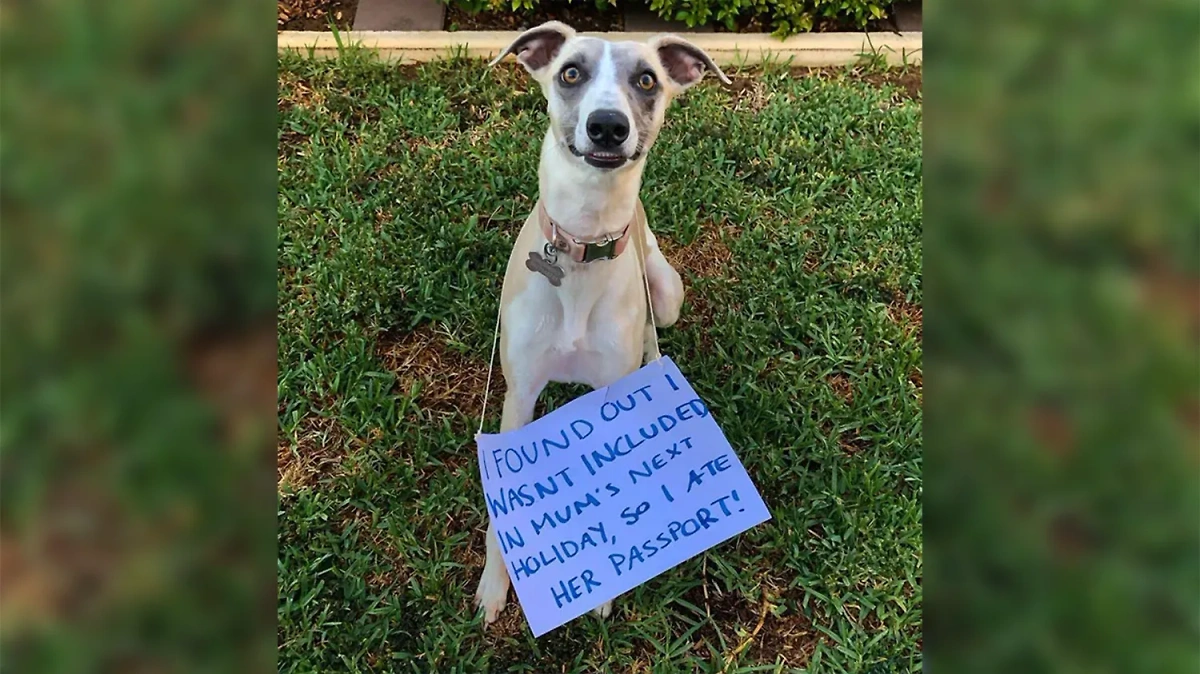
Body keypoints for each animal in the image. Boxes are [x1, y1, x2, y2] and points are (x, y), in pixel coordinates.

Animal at [472, 20, 724, 623]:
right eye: (570, 72)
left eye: (647, 79)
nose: (608, 126)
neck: (584, 244)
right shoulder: (518, 395)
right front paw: (495, 586)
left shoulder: (610, 393)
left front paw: (604, 588)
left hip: (667, 292)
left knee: (655, 336)